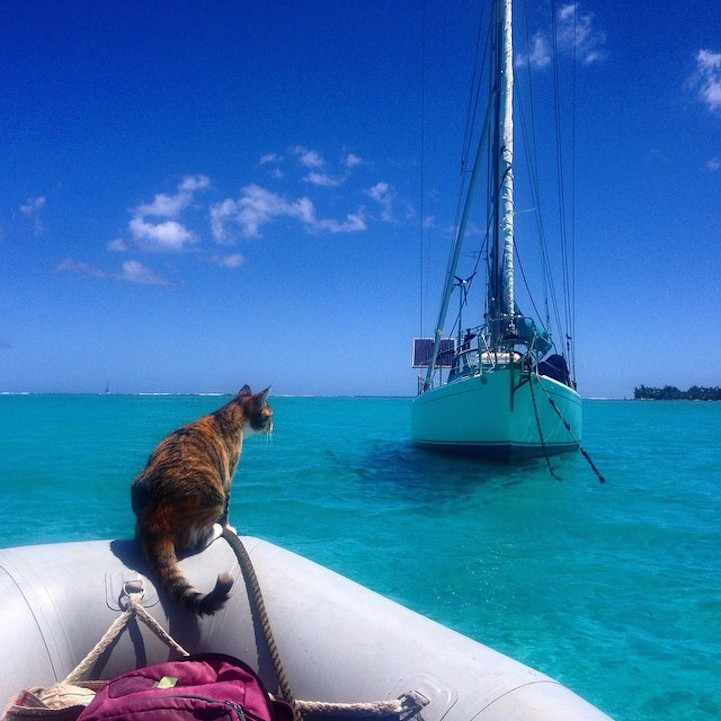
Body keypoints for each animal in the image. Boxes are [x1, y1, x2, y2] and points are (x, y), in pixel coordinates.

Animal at [131, 386, 272, 616]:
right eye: (269, 416)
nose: (272, 426)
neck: (228, 413)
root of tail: (155, 522)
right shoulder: (227, 476)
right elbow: (228, 510)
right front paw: (228, 527)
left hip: (137, 482)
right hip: (213, 495)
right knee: (195, 540)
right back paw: (216, 530)